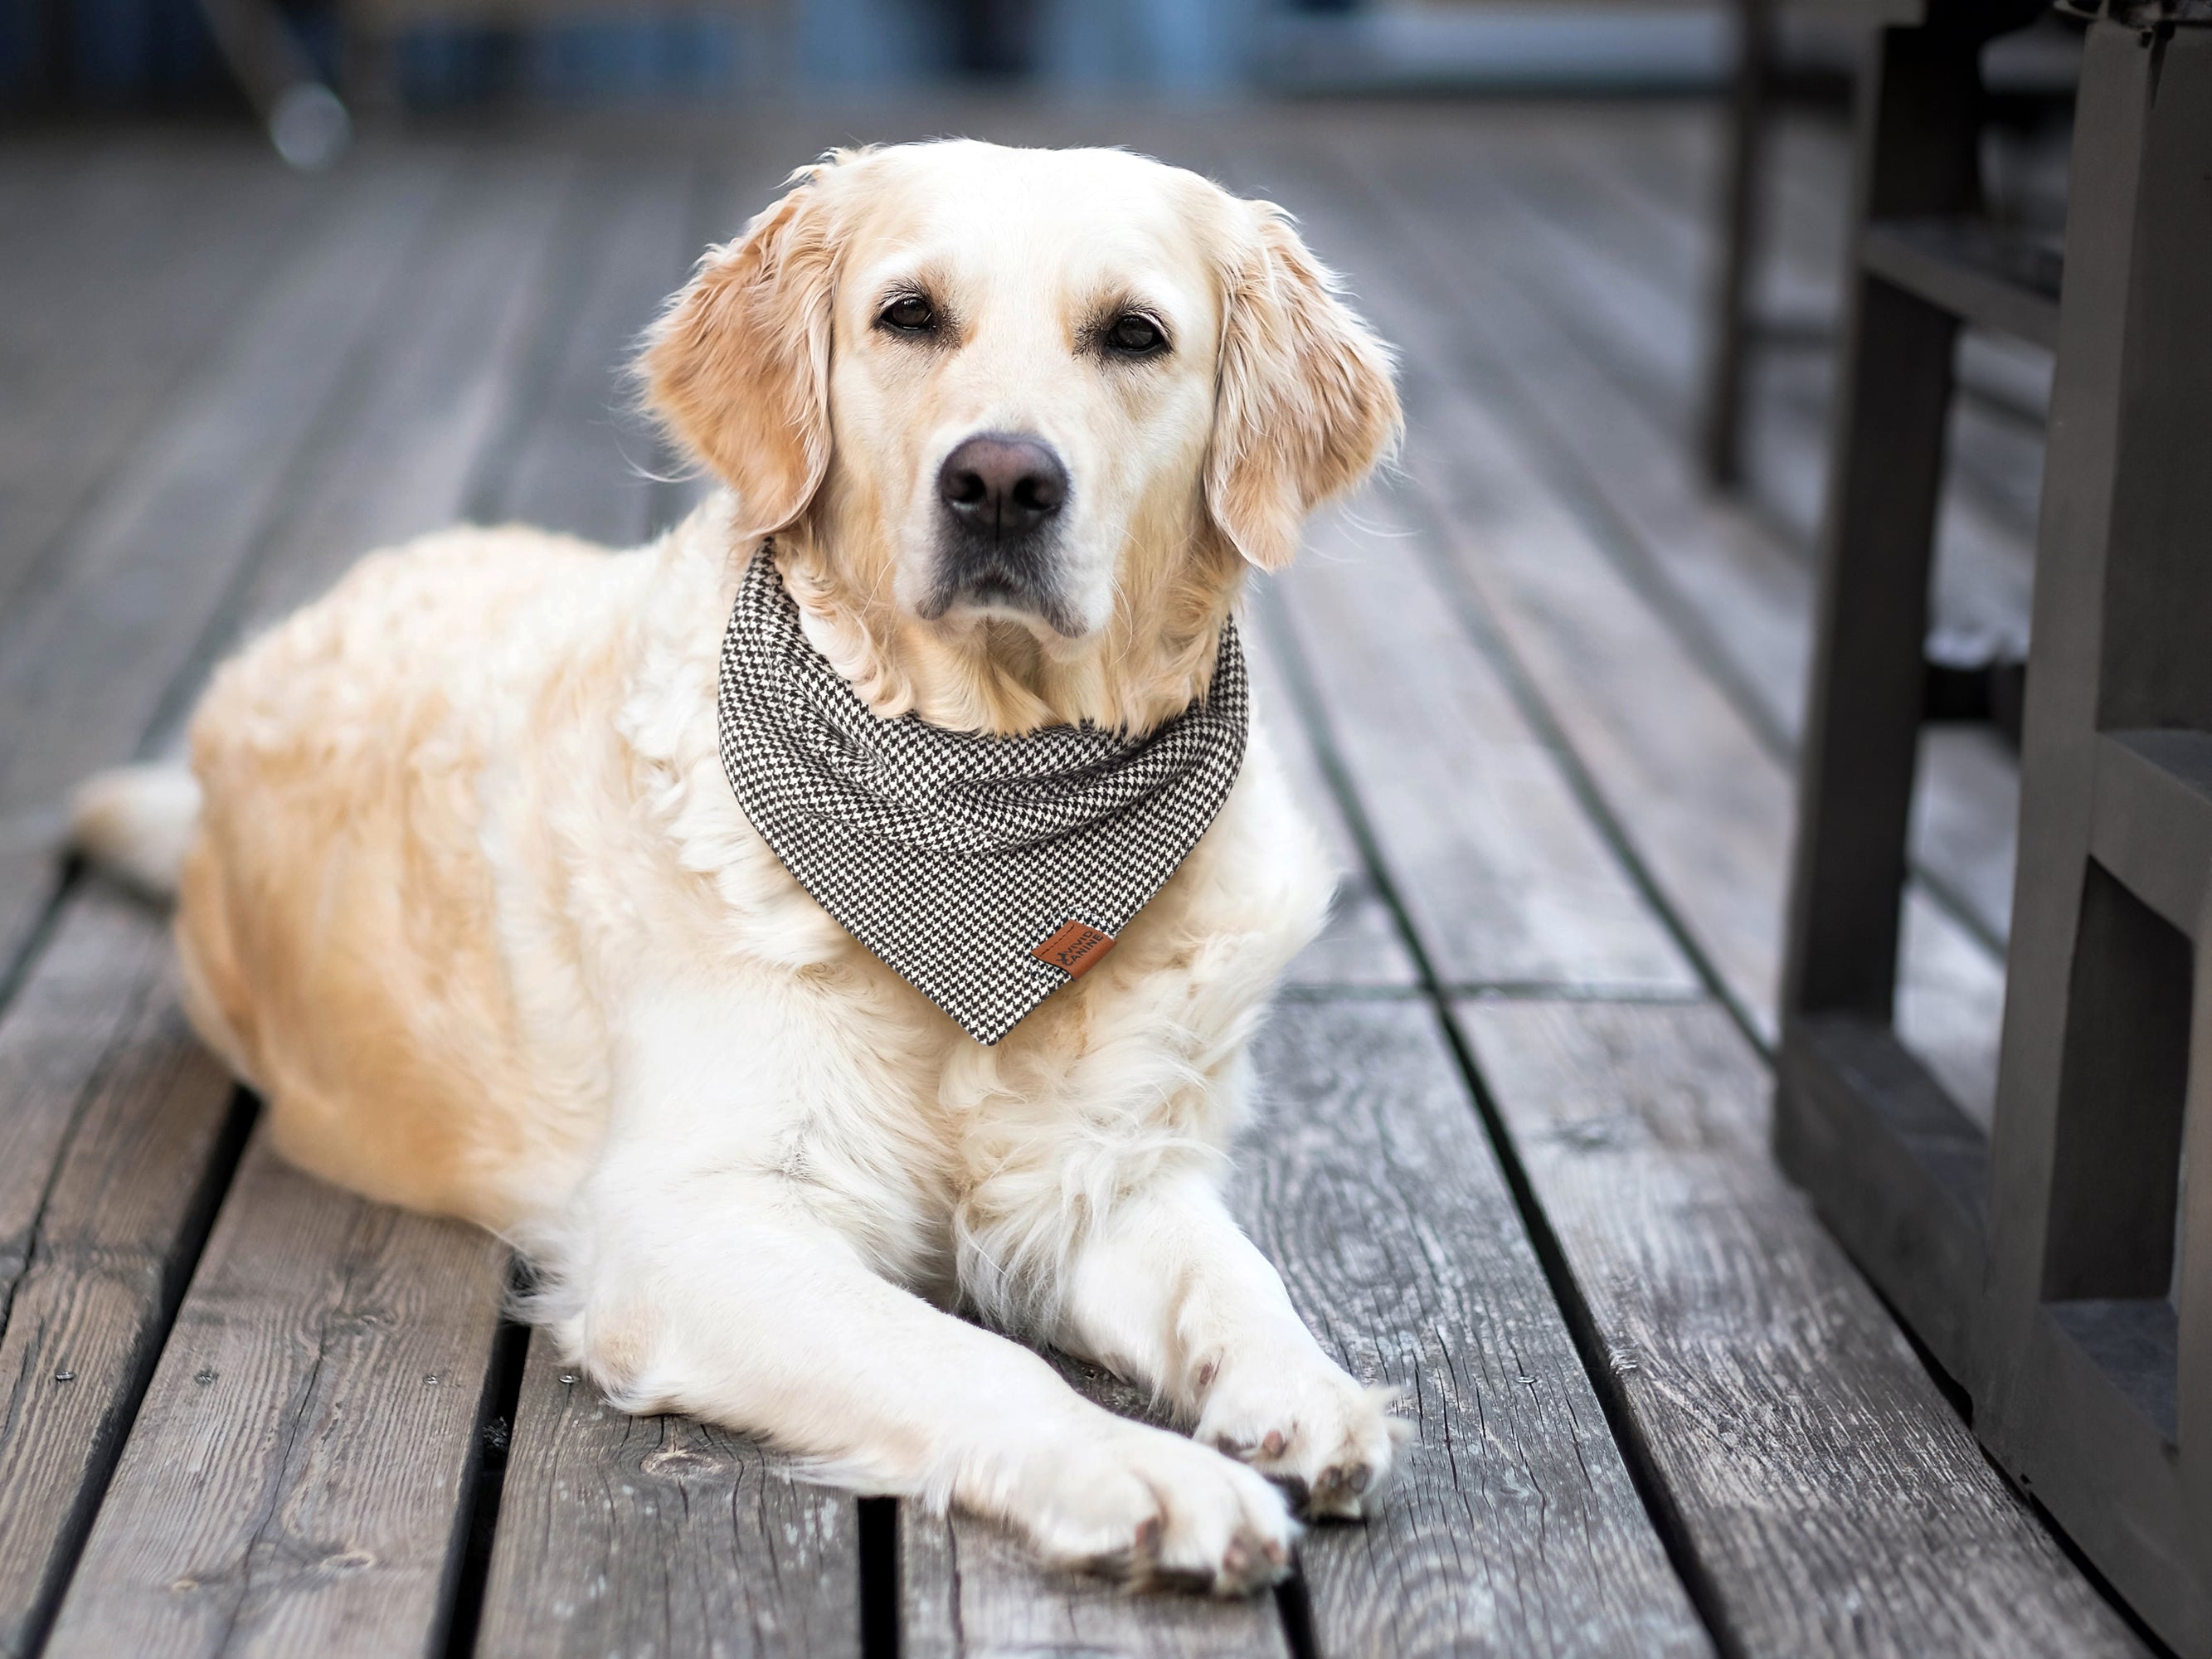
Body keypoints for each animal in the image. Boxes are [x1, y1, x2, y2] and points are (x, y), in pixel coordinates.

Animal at [81, 143, 1415, 1601]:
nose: (1002, 482)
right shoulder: (688, 1229)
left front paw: (1304, 1390)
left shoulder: (1097, 1173)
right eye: (908, 316)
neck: (981, 811)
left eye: (1132, 336)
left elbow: (1226, 1275)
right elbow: (967, 1357)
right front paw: (1148, 1478)